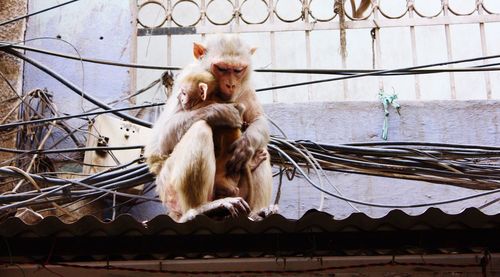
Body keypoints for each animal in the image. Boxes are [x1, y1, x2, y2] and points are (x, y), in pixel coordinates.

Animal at [178, 65, 268, 203]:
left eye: (184, 93)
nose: (181, 99)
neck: (208, 98)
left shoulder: (197, 106)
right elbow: (239, 107)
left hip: (220, 176)